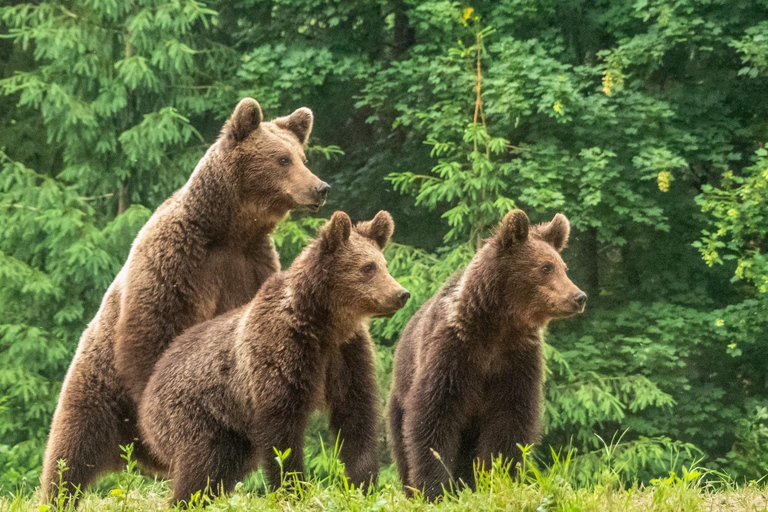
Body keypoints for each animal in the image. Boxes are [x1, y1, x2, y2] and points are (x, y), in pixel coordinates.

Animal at [41, 98, 329, 503]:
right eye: (282, 159)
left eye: (302, 156)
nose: (320, 187)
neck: (227, 231)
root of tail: (135, 454)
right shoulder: (178, 260)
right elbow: (156, 329)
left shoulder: (249, 266)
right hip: (97, 388)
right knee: (71, 450)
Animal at [139, 210, 410, 506]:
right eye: (368, 267)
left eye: (384, 264)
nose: (401, 293)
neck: (322, 324)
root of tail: (150, 383)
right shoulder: (281, 354)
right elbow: (282, 432)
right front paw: (293, 489)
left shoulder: (346, 355)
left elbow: (356, 417)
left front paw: (363, 484)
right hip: (192, 411)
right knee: (201, 459)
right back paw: (187, 497)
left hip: (232, 431)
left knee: (225, 464)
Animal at [387, 209, 587, 500]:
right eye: (545, 267)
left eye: (564, 267)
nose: (578, 296)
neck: (497, 328)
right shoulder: (454, 354)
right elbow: (434, 416)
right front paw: (435, 488)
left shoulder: (516, 361)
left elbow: (510, 421)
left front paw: (497, 478)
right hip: (398, 399)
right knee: (402, 444)